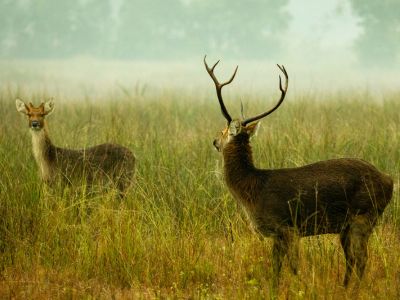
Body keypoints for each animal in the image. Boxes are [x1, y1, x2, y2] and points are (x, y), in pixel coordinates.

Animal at [205, 55, 392, 288]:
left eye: (223, 131)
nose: (214, 141)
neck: (252, 190)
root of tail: (389, 180)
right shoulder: (277, 235)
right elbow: (275, 268)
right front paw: (274, 289)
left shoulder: (288, 226)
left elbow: (294, 267)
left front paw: (300, 287)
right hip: (348, 226)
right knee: (352, 259)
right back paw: (344, 287)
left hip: (364, 215)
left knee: (361, 258)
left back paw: (355, 289)